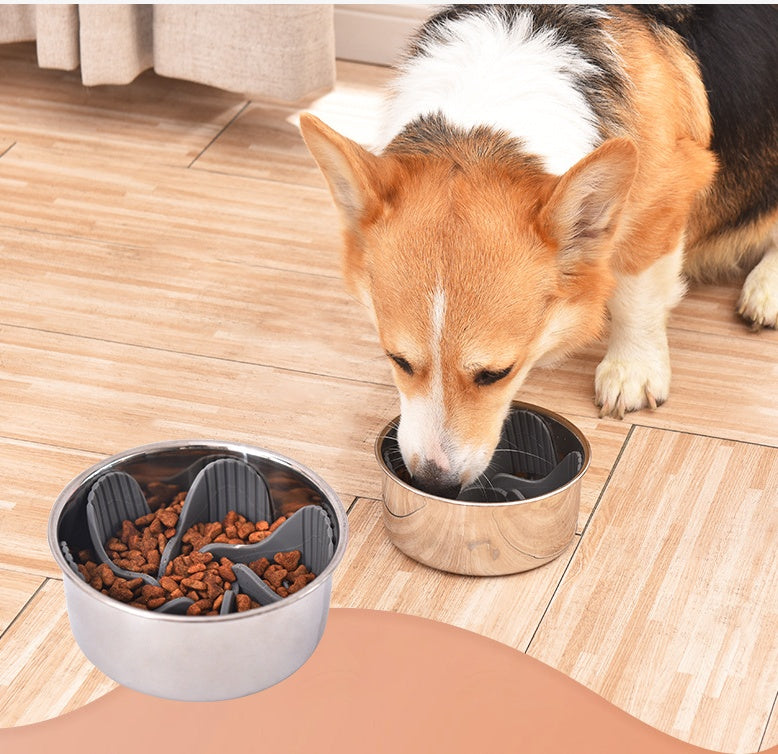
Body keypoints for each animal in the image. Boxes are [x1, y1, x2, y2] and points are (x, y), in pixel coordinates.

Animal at [302, 7, 776, 500]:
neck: (486, 109)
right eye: (398, 360)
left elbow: (637, 292)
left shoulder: (665, 194)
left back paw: (765, 292)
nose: (435, 482)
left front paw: (632, 370)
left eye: (497, 373)